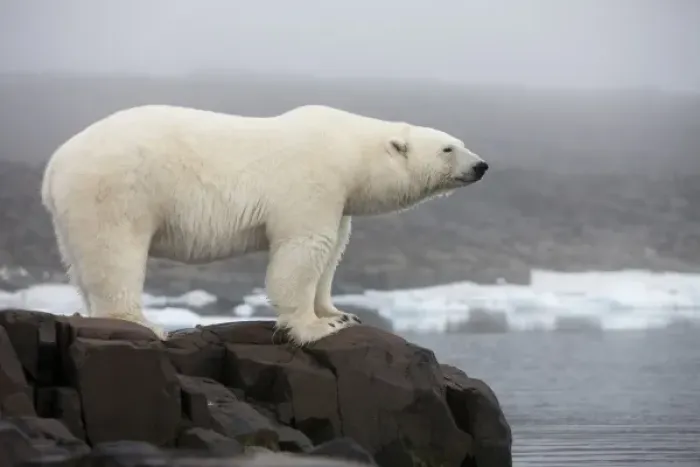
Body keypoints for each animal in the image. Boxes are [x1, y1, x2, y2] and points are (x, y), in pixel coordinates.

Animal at [40, 104, 488, 344]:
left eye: (462, 142)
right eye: (449, 148)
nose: (481, 166)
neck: (349, 151)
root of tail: (54, 164)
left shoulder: (339, 199)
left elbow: (333, 250)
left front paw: (341, 314)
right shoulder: (312, 181)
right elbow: (304, 249)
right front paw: (317, 326)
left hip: (74, 209)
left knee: (81, 261)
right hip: (118, 189)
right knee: (115, 252)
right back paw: (141, 323)